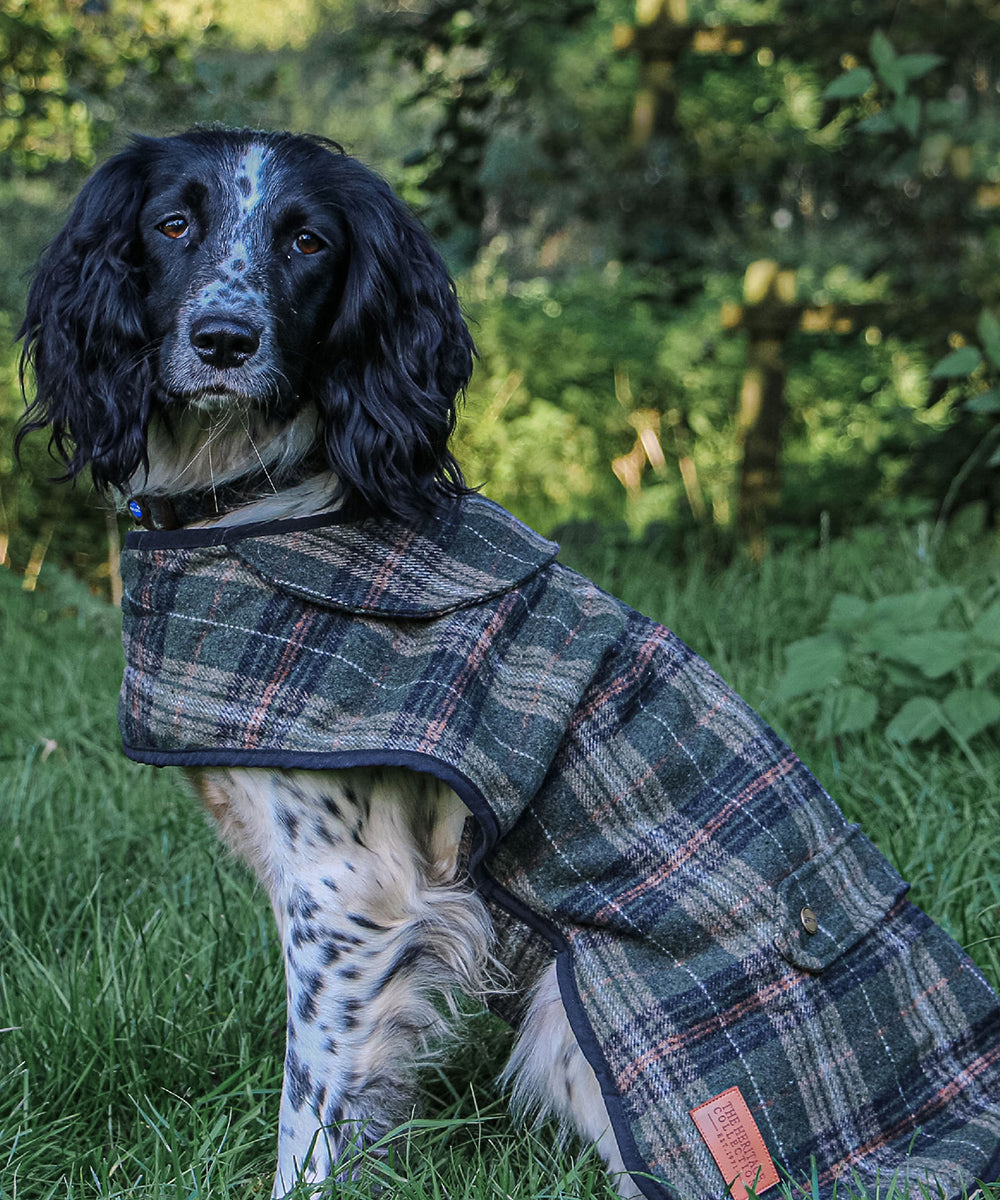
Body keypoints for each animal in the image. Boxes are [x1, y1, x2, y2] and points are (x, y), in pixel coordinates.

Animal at [17, 131, 1000, 1200]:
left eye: (308, 242)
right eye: (172, 224)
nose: (224, 339)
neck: (260, 506)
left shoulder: (349, 892)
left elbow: (311, 1121)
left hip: (574, 1028)